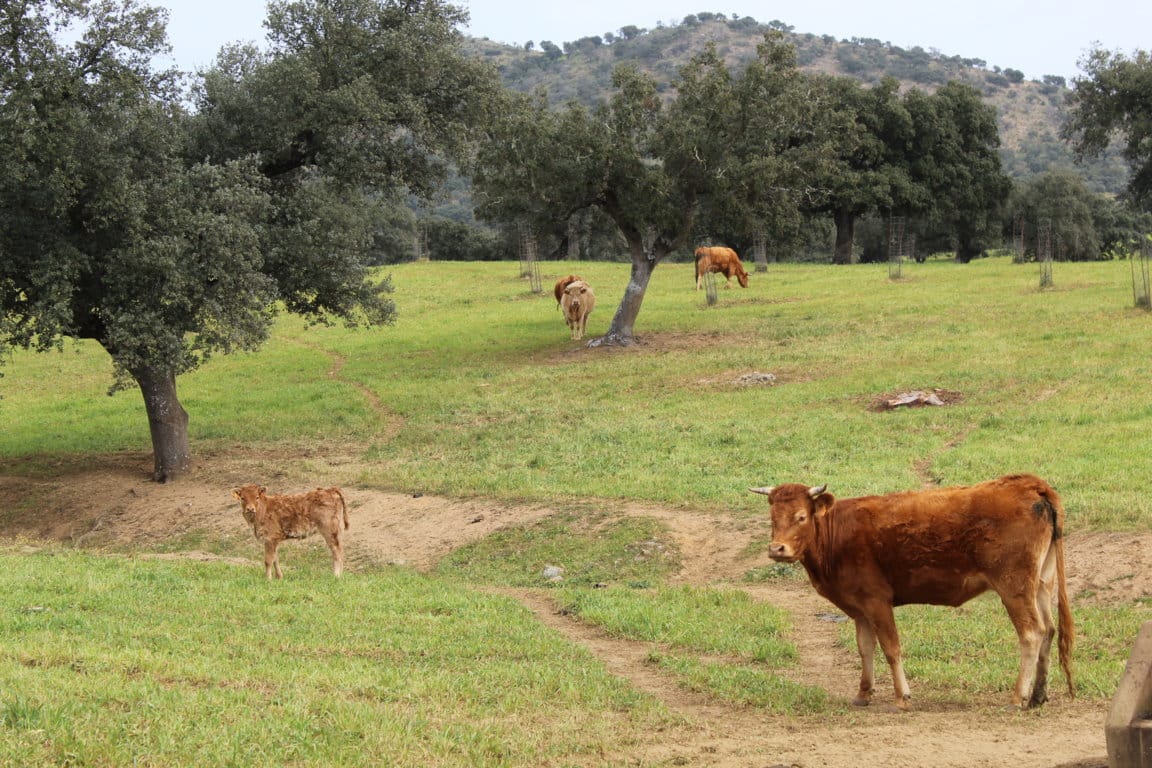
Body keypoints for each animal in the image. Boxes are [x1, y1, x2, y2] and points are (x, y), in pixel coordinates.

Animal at [751, 474, 1073, 713]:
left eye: (801, 517)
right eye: (772, 518)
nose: (777, 549)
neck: (838, 532)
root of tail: (1030, 484)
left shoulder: (877, 601)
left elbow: (891, 648)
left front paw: (902, 697)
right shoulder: (859, 608)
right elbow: (865, 648)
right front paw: (863, 693)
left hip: (1013, 587)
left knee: (1031, 633)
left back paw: (1018, 697)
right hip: (1041, 584)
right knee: (1049, 629)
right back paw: (1037, 696)